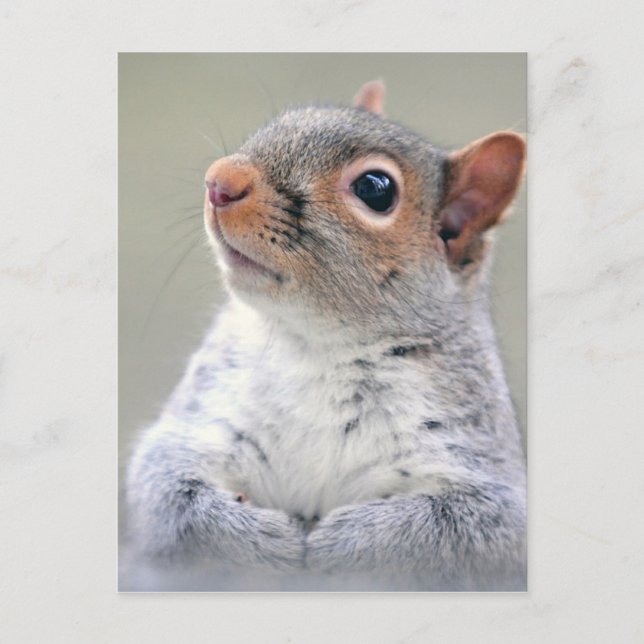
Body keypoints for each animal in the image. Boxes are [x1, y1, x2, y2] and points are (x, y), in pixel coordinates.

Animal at [125, 80, 527, 591]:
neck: (317, 346)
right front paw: (263, 539)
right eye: (282, 121)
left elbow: (460, 531)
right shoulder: (201, 420)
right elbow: (167, 495)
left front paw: (346, 545)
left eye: (375, 189)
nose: (219, 180)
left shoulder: (479, 467)